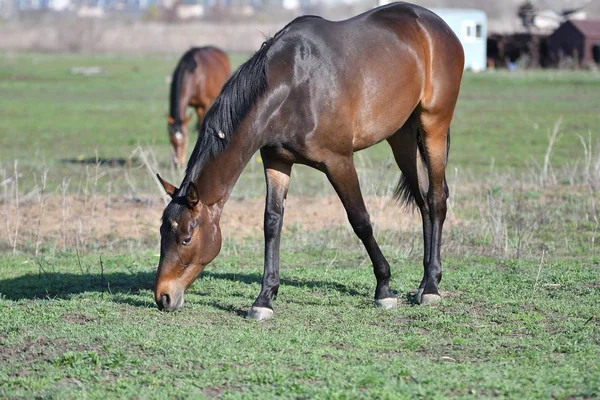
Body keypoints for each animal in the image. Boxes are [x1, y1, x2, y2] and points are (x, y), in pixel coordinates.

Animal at [155, 3, 464, 320]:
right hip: (402, 137)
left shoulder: (339, 161)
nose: (163, 296)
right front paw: (264, 298)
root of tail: (435, 25)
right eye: (162, 232)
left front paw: (384, 287)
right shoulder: (276, 161)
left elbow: (360, 220)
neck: (293, 87)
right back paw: (425, 281)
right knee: (423, 200)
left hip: (433, 126)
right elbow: (272, 223)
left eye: (186, 238)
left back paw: (430, 287)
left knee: (436, 198)